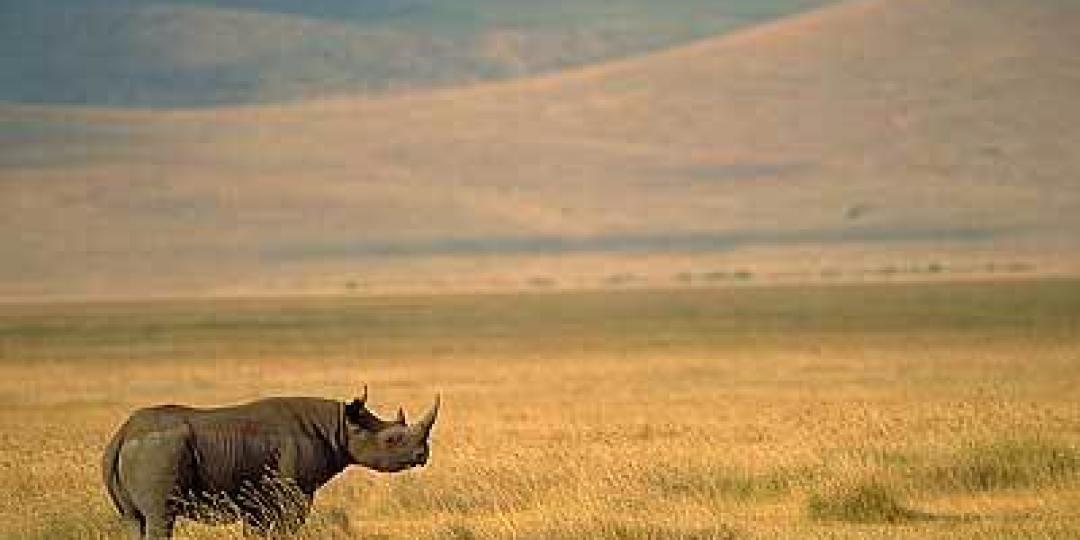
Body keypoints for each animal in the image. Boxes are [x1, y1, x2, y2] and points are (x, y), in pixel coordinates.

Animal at [101, 386, 436, 537]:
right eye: (392, 440)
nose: (422, 456)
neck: (339, 426)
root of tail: (122, 434)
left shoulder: (257, 498)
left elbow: (257, 530)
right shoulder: (294, 491)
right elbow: (288, 526)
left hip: (142, 452)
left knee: (134, 520)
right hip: (157, 451)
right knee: (161, 516)